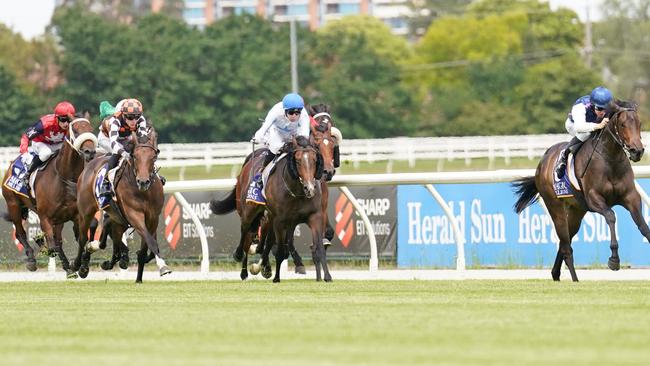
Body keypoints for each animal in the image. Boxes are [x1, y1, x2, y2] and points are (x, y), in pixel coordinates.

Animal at [1, 118, 97, 276]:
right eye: (75, 130)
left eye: (91, 129)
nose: (90, 152)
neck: (64, 178)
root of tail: (11, 165)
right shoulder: (45, 216)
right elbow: (52, 246)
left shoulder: (77, 214)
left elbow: (84, 236)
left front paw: (81, 266)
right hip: (13, 205)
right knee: (21, 233)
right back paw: (32, 259)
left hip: (58, 219)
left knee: (57, 241)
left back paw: (68, 268)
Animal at [74, 129, 170, 284]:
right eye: (135, 157)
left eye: (153, 156)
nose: (143, 182)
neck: (143, 192)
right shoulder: (134, 215)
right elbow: (149, 240)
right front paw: (163, 267)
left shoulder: (153, 218)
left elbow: (146, 246)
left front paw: (139, 278)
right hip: (85, 211)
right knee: (83, 238)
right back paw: (78, 265)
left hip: (117, 218)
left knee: (114, 238)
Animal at [210, 136, 330, 282]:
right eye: (297, 160)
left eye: (314, 160)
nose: (310, 188)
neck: (297, 191)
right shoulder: (280, 220)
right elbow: (279, 250)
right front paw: (276, 277)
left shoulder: (314, 217)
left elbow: (318, 248)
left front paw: (327, 277)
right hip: (248, 210)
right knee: (245, 231)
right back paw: (241, 261)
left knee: (260, 239)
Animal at [512, 101, 644, 282]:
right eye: (623, 124)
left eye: (639, 124)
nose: (637, 151)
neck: (609, 160)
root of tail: (542, 162)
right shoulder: (594, 198)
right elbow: (611, 216)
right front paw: (614, 260)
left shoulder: (631, 197)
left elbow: (642, 225)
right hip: (555, 207)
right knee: (566, 245)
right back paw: (574, 279)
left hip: (577, 210)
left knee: (564, 241)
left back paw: (555, 273)